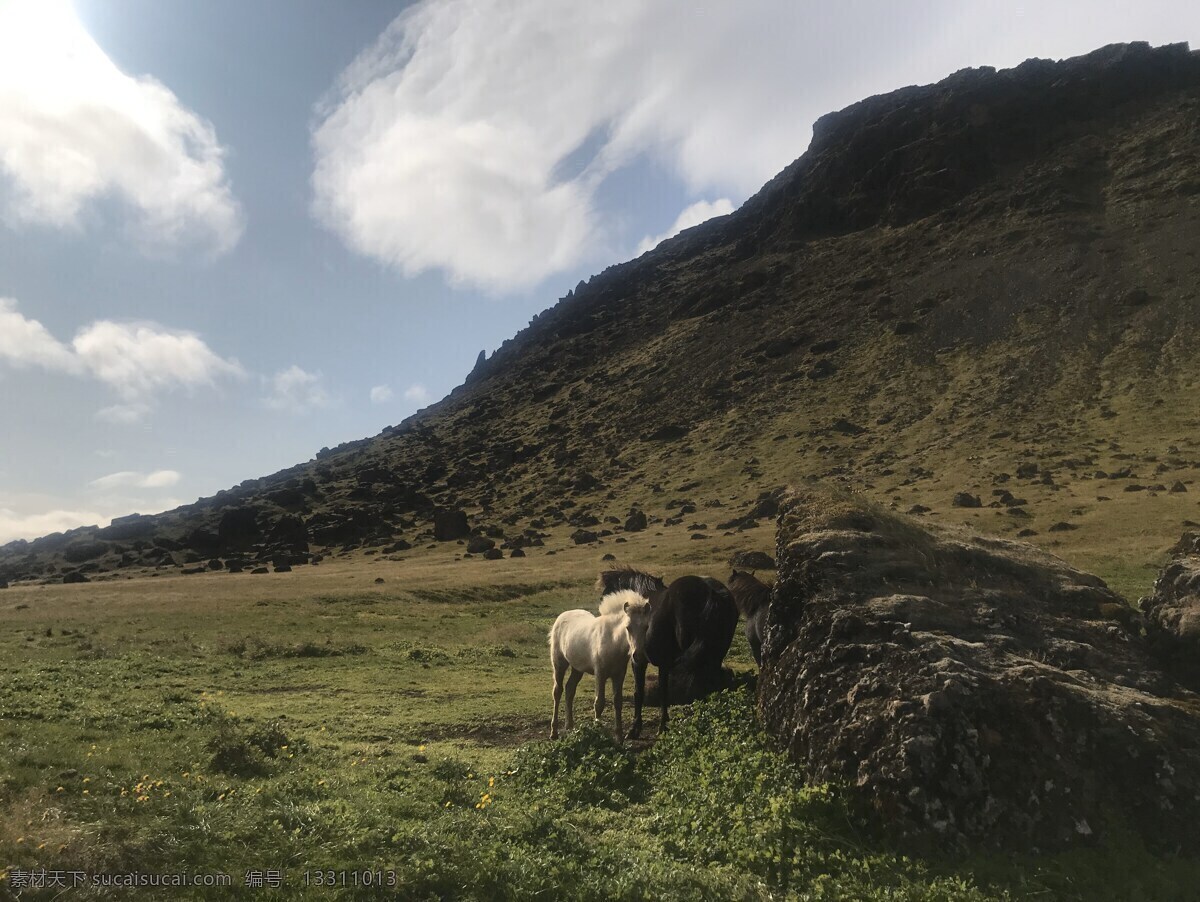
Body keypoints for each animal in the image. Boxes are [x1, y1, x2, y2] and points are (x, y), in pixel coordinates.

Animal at [547, 589, 639, 742]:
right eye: (628, 627)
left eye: (647, 627)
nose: (638, 655)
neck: (612, 640)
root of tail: (562, 616)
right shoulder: (600, 674)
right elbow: (599, 703)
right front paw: (598, 732)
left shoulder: (619, 675)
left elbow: (618, 702)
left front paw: (619, 737)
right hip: (559, 663)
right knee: (557, 691)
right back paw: (554, 732)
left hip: (577, 668)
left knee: (570, 688)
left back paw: (570, 727)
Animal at [610, 569, 739, 738]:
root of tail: (712, 592)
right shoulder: (664, 664)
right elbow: (664, 692)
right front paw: (663, 724)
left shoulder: (639, 661)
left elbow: (640, 692)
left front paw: (636, 729)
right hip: (713, 658)